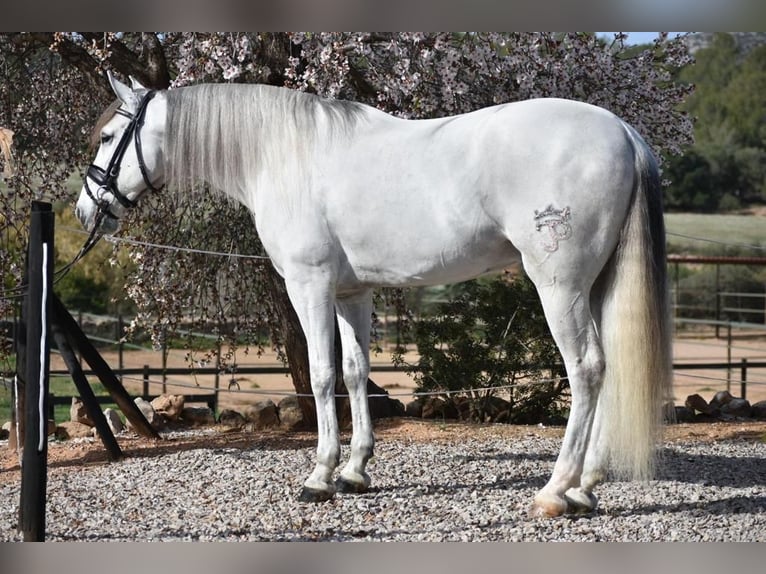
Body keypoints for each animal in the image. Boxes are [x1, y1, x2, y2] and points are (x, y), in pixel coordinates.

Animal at [78, 72, 672, 516]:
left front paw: (320, 476)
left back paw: (556, 490)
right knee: (608, 365)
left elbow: (320, 376)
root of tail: (622, 131)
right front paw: (355, 471)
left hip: (560, 286)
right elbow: (354, 372)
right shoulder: (350, 292)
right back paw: (586, 488)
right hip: (594, 286)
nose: (86, 211)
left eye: (108, 138)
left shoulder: (309, 285)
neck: (284, 155)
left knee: (586, 368)